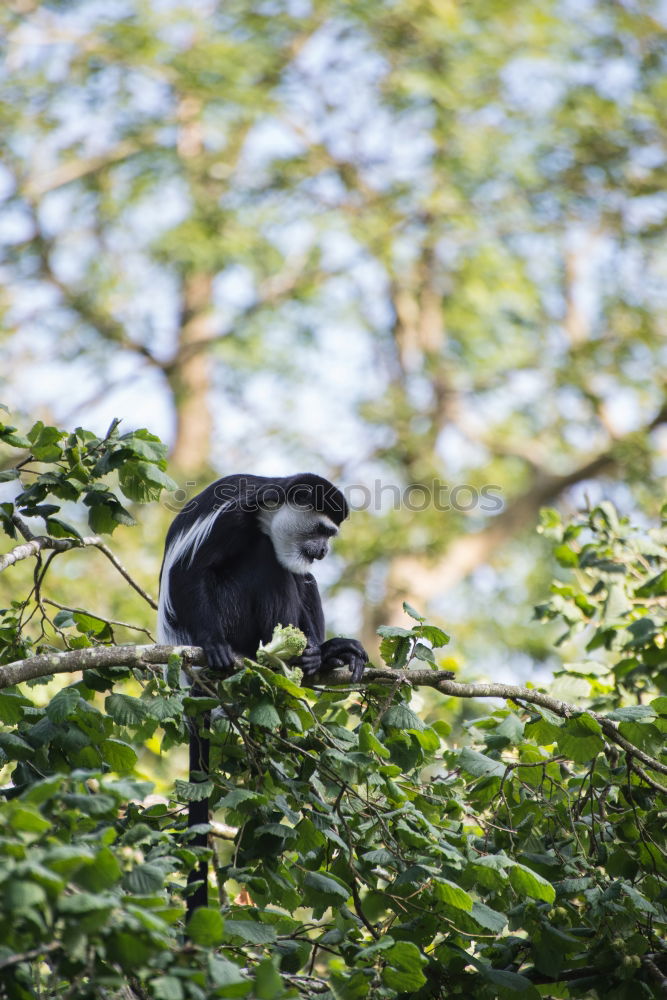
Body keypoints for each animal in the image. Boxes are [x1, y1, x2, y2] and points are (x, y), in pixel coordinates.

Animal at [156, 476, 368, 916]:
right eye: (321, 530)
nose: (323, 552)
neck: (267, 516)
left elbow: (305, 581)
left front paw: (323, 652)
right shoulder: (232, 520)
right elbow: (192, 572)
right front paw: (214, 644)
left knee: (300, 578)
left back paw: (319, 656)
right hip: (232, 612)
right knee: (270, 567)